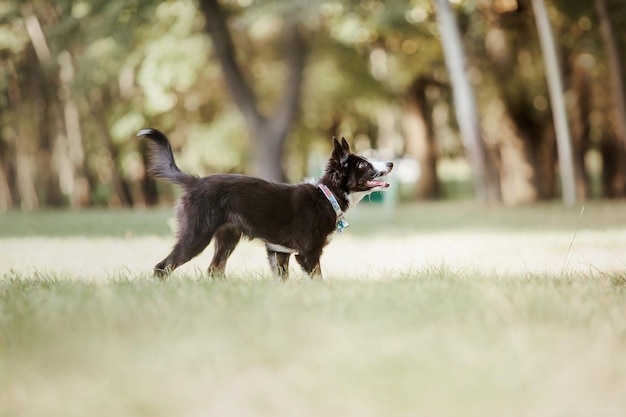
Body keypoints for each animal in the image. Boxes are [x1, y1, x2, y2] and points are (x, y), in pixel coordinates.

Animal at [138, 127, 390, 280]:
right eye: (363, 165)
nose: (391, 163)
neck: (326, 196)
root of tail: (195, 182)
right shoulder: (308, 253)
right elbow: (318, 278)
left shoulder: (279, 253)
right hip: (196, 236)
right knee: (162, 267)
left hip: (227, 238)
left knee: (214, 270)